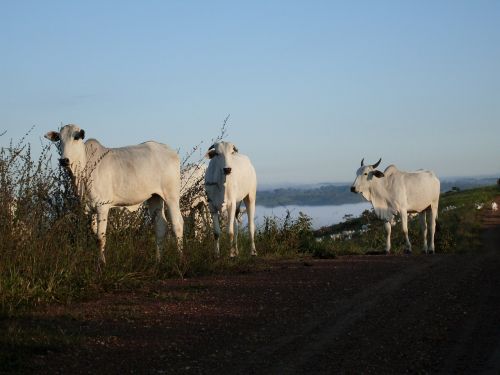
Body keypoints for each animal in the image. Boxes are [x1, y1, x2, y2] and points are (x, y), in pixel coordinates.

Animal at [45, 125, 184, 262]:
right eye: (59, 139)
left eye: (76, 137)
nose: (64, 160)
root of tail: (170, 151)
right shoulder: (90, 209)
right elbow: (95, 236)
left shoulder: (102, 206)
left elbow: (101, 238)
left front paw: (102, 264)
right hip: (154, 197)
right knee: (160, 226)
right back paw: (158, 261)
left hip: (171, 196)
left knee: (177, 224)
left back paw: (180, 259)